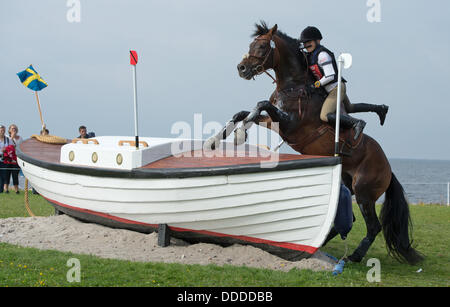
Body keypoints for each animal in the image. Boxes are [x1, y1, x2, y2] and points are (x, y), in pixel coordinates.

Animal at [206, 21, 424, 266]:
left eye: (262, 47)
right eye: (251, 45)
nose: (241, 68)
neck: (293, 86)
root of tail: (388, 167)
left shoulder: (289, 124)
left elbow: (260, 104)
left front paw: (240, 133)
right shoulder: (273, 122)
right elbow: (243, 112)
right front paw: (217, 139)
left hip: (364, 192)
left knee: (373, 226)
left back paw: (355, 255)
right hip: (346, 184)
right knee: (346, 221)